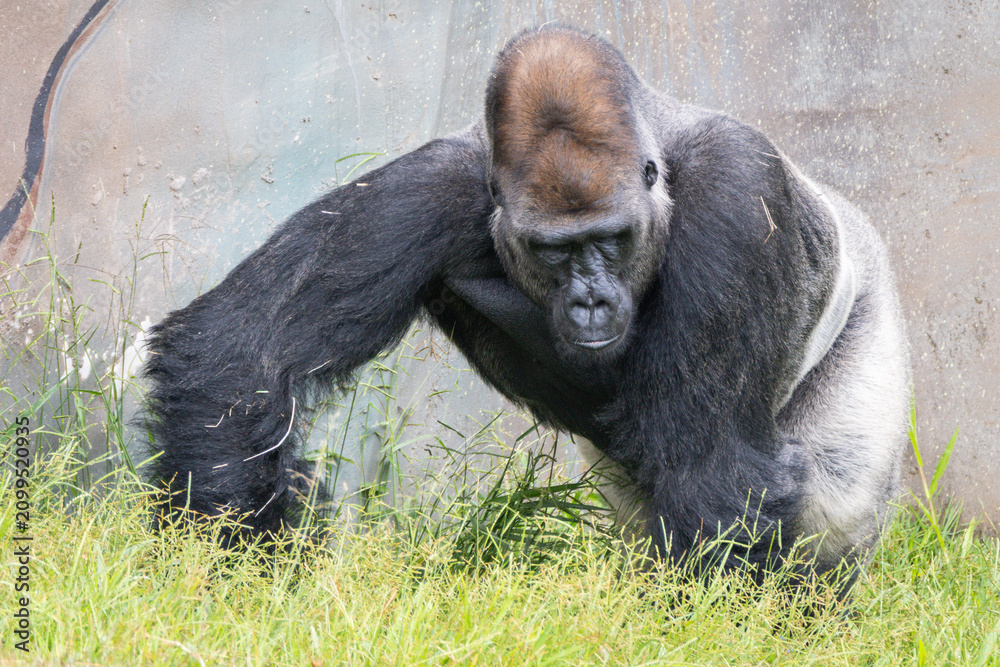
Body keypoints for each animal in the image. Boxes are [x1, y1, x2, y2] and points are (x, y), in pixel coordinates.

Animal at [143, 25, 909, 592]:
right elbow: (242, 354)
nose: (592, 302)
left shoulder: (738, 191)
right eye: (553, 251)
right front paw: (236, 569)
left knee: (835, 486)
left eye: (611, 239)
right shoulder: (435, 186)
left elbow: (713, 463)